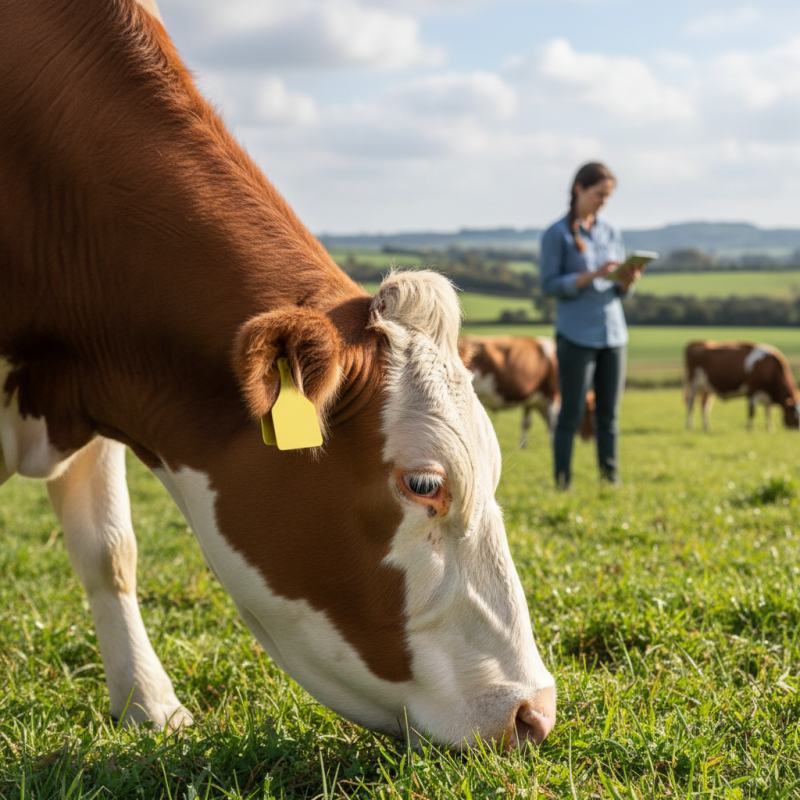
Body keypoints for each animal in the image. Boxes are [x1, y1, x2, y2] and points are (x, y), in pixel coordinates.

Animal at [459, 336, 595, 448]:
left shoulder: (531, 400)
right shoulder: (553, 396)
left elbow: (527, 423)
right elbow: (553, 423)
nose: (590, 438)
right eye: (590, 412)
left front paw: (523, 446)